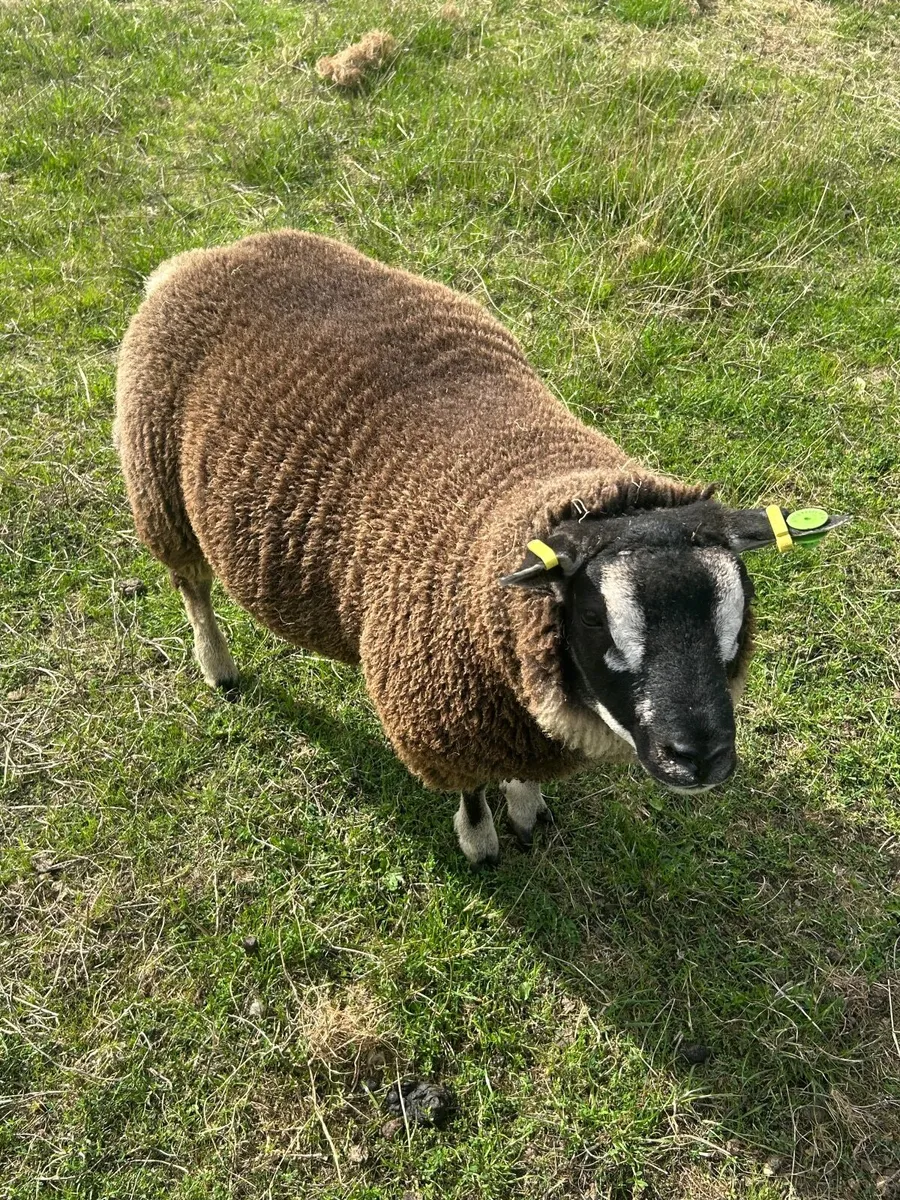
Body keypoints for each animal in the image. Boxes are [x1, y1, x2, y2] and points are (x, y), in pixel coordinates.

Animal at [114, 230, 837, 865]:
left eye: (739, 614)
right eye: (595, 620)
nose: (701, 758)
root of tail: (201, 257)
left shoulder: (507, 706)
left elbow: (518, 772)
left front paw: (528, 808)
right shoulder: (438, 718)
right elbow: (469, 792)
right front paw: (482, 841)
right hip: (159, 489)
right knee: (193, 588)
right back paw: (218, 666)